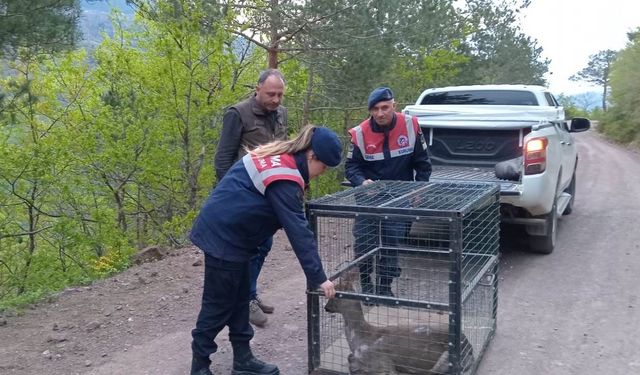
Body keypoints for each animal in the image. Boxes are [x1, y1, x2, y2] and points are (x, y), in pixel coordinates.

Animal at [304, 181, 500, 374]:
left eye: (336, 294)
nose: (326, 308)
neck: (361, 339)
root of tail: (470, 348)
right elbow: (350, 359)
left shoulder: (383, 364)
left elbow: (358, 364)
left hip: (446, 360)